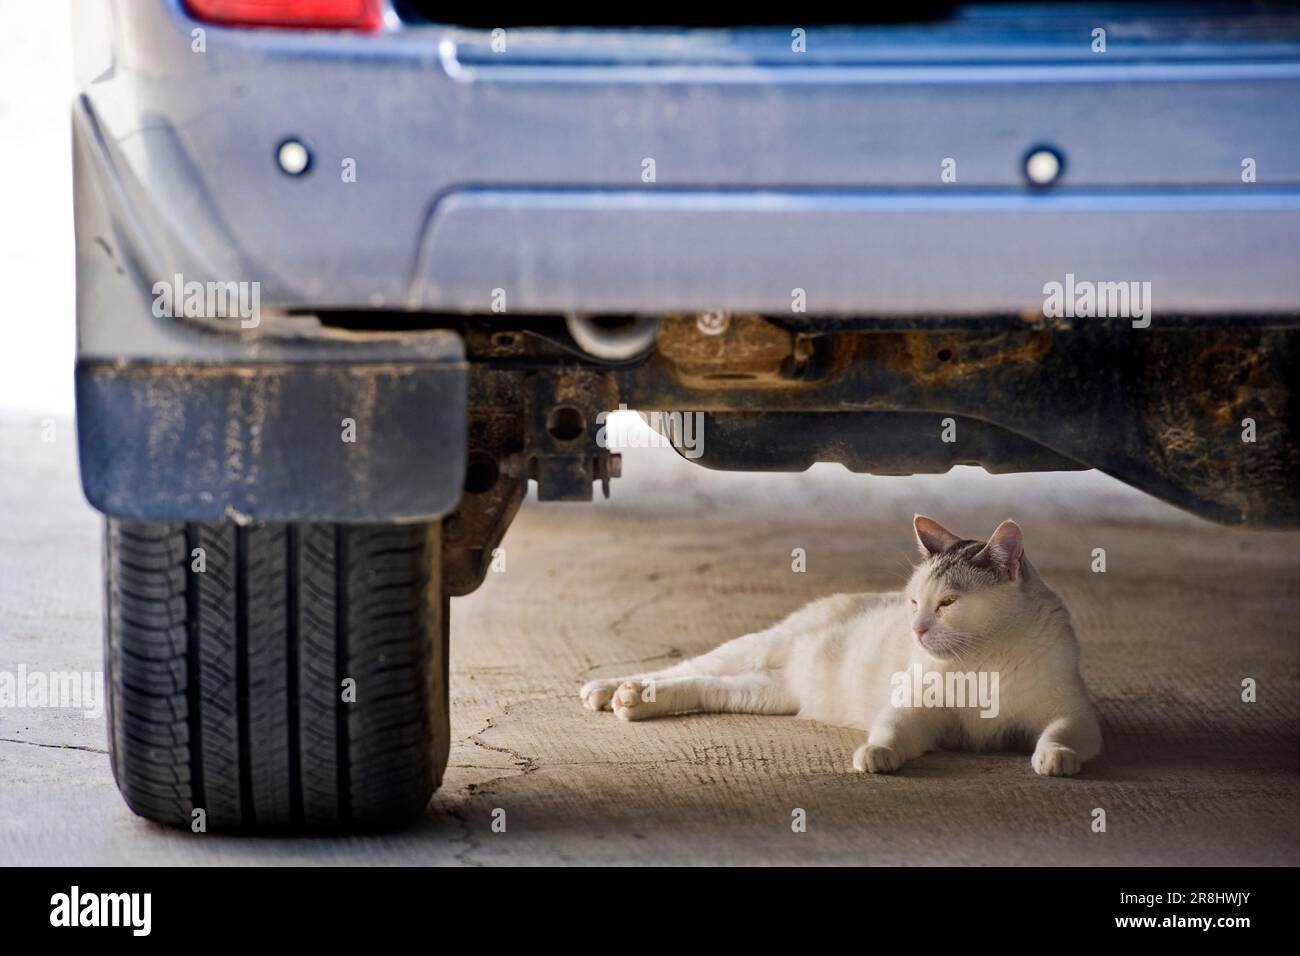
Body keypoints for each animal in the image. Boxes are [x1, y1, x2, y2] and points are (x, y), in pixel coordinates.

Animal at [585, 515, 1102, 780]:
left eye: (948, 603)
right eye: (915, 600)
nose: (915, 628)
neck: (983, 662)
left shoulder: (1075, 713)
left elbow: (1061, 733)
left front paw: (1055, 758)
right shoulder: (915, 708)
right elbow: (892, 729)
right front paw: (876, 753)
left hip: (765, 692)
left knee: (706, 685)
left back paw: (633, 700)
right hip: (760, 645)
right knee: (687, 667)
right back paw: (611, 690)